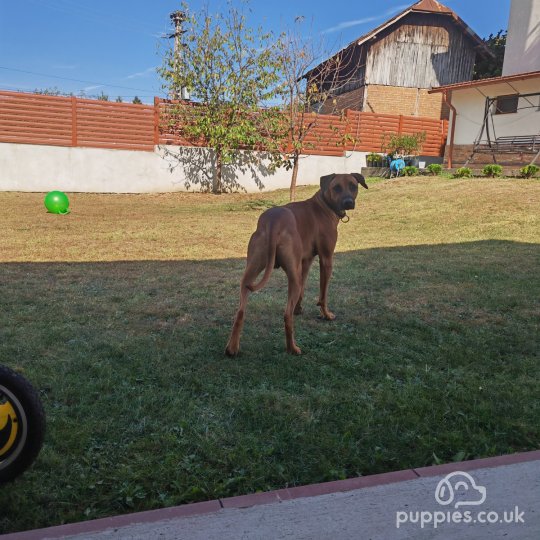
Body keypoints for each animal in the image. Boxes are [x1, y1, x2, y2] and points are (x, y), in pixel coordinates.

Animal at [224, 173, 368, 356]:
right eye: (336, 187)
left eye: (353, 186)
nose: (348, 202)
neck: (324, 204)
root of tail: (273, 222)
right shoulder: (326, 259)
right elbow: (323, 294)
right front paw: (326, 314)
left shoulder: (305, 261)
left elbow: (303, 287)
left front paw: (298, 308)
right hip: (291, 275)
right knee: (286, 316)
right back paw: (292, 348)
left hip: (254, 269)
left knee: (240, 311)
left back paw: (232, 348)